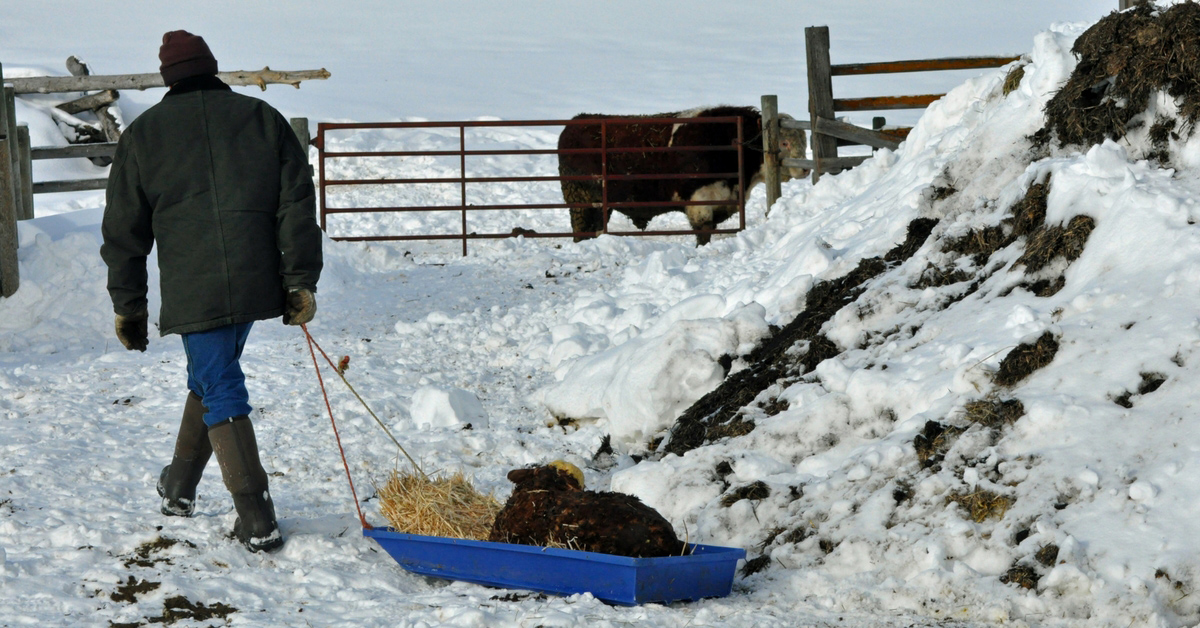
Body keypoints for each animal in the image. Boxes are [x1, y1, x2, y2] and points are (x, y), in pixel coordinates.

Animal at [559, 105, 806, 246]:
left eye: (804, 140)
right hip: (580, 199)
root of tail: (574, 123)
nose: (805, 169)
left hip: (600, 205)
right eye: (784, 142)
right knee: (580, 230)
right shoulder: (700, 201)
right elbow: (703, 234)